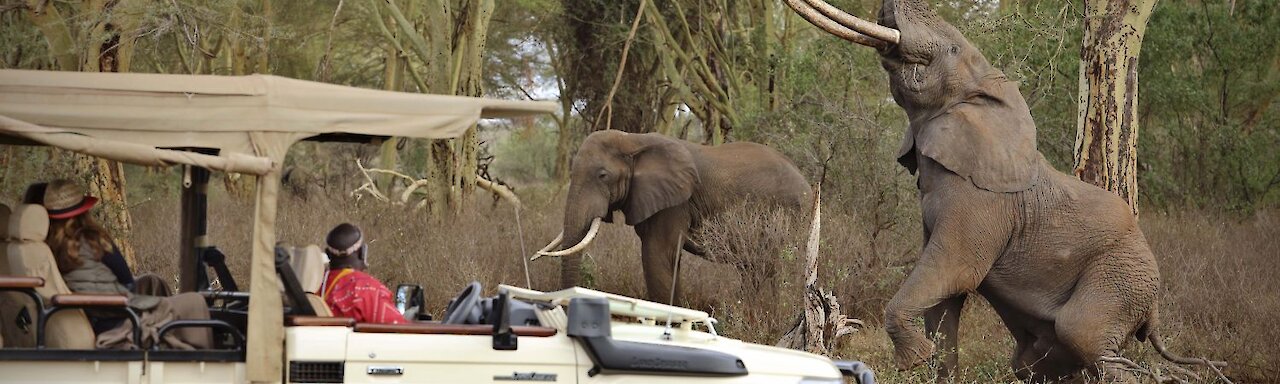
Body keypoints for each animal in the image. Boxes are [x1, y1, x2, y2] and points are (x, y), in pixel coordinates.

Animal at [783, 0, 1223, 381]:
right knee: (1034, 363)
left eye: (952, 49)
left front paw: (912, 360)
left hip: (1122, 277)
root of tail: (1155, 307)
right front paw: (931, 360)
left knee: (1085, 335)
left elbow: (956, 271)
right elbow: (945, 302)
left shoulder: (982, 203)